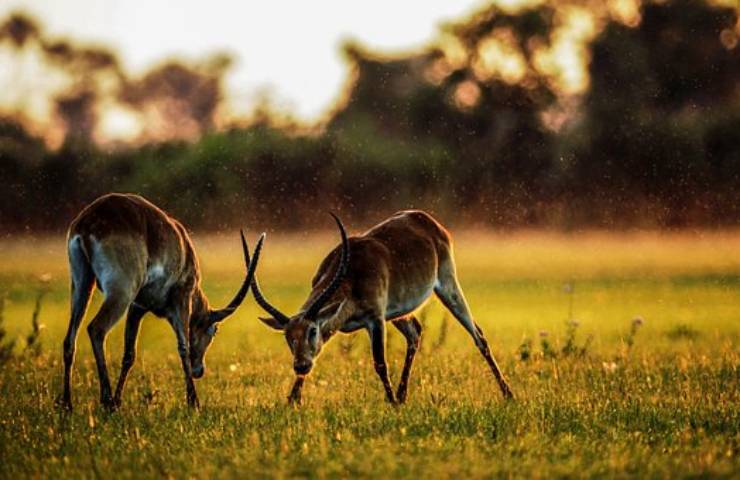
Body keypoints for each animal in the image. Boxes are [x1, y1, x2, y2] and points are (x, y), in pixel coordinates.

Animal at [59, 193, 264, 410]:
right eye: (214, 330)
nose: (199, 370)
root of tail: (87, 221)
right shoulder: (182, 298)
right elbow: (183, 346)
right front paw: (194, 402)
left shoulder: (137, 307)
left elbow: (129, 354)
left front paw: (119, 400)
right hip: (121, 292)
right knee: (96, 328)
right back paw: (106, 402)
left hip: (82, 284)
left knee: (70, 339)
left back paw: (68, 405)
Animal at [251, 212, 512, 404]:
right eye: (288, 336)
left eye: (312, 330)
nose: (300, 365)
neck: (351, 273)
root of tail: (427, 220)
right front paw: (293, 399)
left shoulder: (375, 318)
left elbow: (380, 362)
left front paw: (391, 403)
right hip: (398, 313)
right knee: (415, 333)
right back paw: (402, 395)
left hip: (448, 286)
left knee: (478, 335)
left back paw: (508, 393)